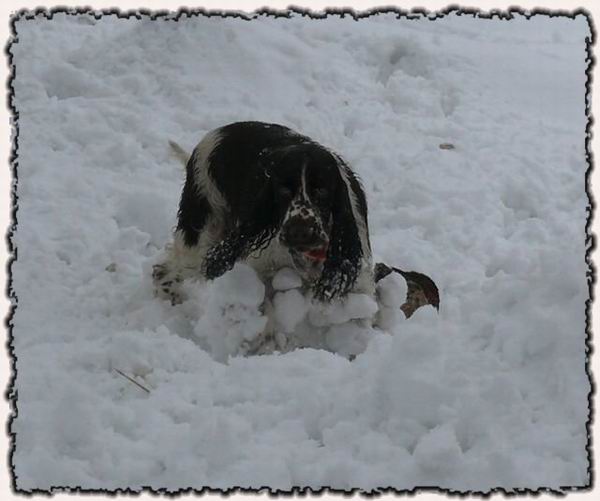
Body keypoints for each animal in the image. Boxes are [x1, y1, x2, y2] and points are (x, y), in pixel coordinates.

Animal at [153, 121, 439, 319]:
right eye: (282, 190)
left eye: (321, 190)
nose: (299, 232)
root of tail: (209, 138)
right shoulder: (261, 267)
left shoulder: (354, 276)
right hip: (202, 236)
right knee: (163, 270)